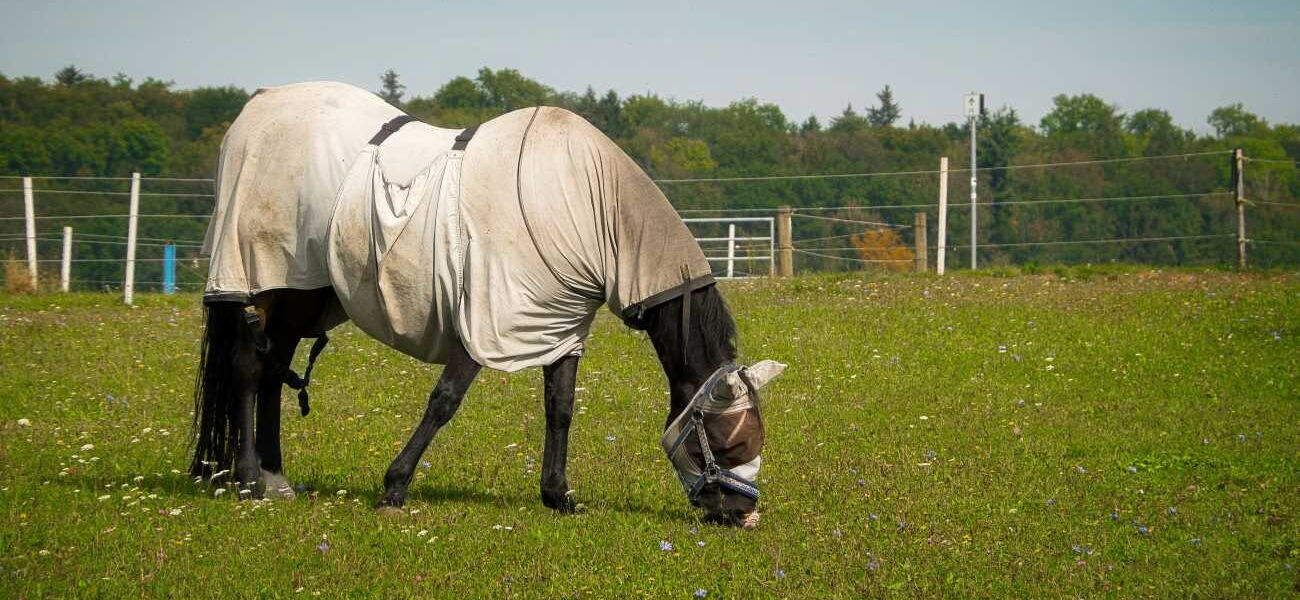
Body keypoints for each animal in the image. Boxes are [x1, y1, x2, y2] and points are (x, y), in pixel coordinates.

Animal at [189, 81, 784, 527]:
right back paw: (249, 481)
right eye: (730, 439)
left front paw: (558, 496)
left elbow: (560, 408)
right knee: (249, 368)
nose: (742, 515)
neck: (589, 206)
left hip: (305, 290)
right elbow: (445, 401)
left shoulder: (559, 326)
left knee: (272, 370)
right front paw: (394, 488)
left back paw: (275, 477)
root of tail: (258, 108)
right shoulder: (483, 324)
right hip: (263, 278)